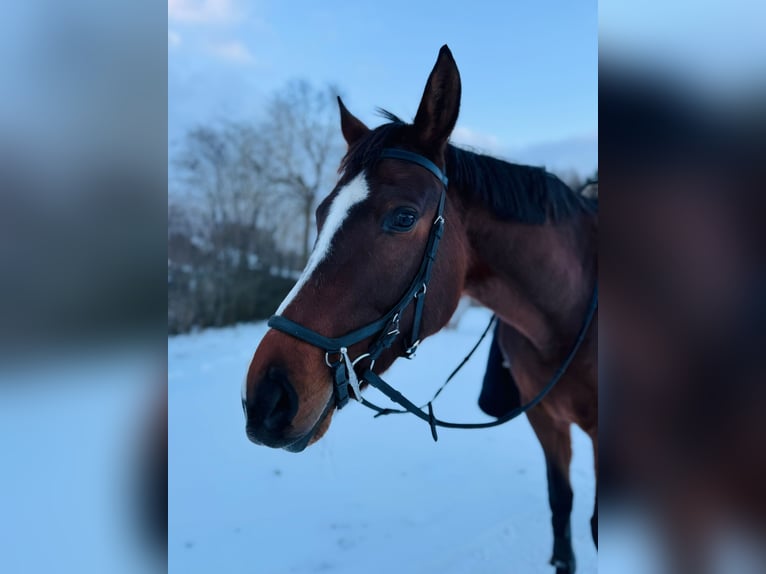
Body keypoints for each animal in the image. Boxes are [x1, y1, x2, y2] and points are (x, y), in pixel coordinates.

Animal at [242, 45, 598, 574]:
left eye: (404, 217)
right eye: (321, 214)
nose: (268, 396)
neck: (565, 319)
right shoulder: (546, 421)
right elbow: (562, 517)